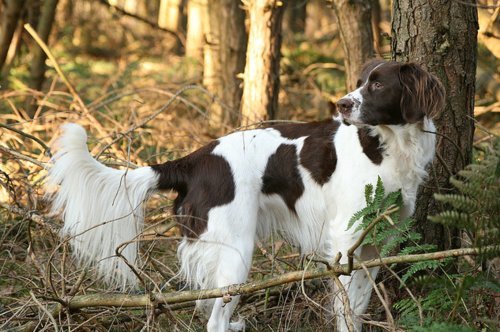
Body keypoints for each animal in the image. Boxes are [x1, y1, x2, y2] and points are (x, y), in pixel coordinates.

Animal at [47, 60, 446, 332]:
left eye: (377, 84)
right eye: (361, 83)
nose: (342, 104)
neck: (387, 146)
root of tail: (197, 159)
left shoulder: (377, 244)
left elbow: (359, 307)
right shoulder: (346, 240)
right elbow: (346, 310)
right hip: (235, 251)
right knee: (215, 320)